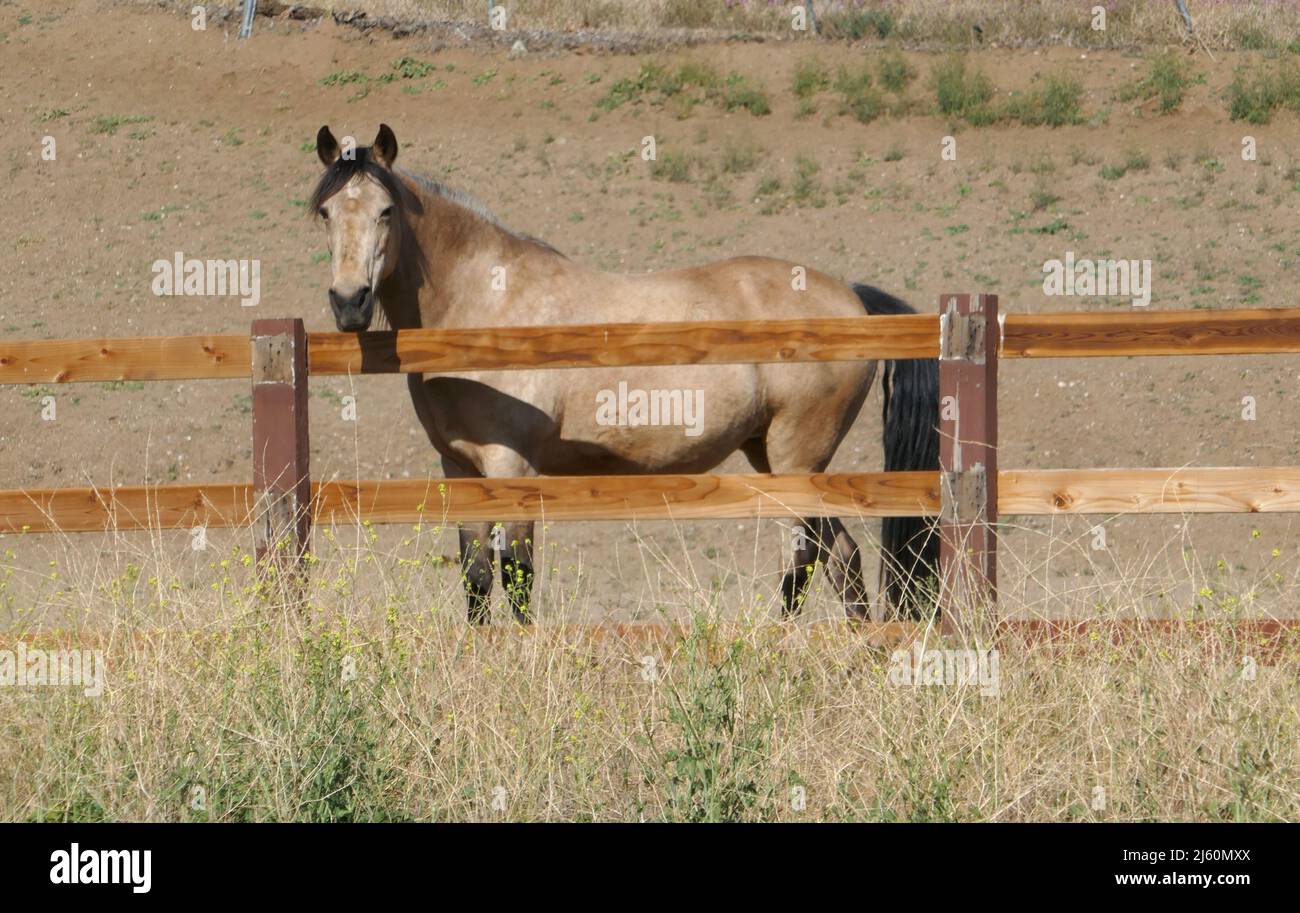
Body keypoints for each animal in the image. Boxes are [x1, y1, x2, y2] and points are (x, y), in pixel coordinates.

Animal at [309, 124, 939, 623]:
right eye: (326, 213)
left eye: (386, 211)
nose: (349, 301)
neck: (486, 307)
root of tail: (849, 297)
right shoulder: (462, 469)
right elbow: (477, 577)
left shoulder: (514, 467)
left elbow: (517, 577)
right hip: (773, 456)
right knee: (842, 558)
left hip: (795, 458)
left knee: (804, 560)